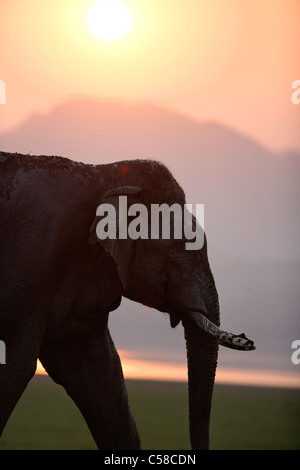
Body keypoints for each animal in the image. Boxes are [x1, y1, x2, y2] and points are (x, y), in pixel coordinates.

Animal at [0, 152, 255, 450]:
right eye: (181, 247)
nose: (248, 339)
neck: (104, 174)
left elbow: (100, 369)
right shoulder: (30, 263)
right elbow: (16, 366)